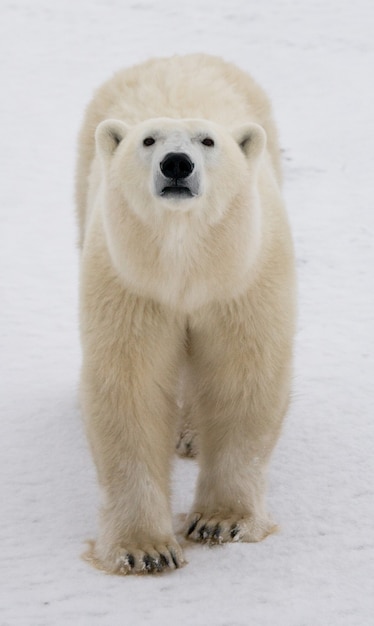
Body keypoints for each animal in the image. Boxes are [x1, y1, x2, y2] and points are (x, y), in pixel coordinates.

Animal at [76, 56, 296, 572]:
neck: (187, 267)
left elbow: (241, 376)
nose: (177, 163)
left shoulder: (241, 281)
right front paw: (145, 549)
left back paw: (193, 435)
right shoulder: (132, 287)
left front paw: (221, 522)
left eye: (208, 141)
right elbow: (130, 387)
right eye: (148, 140)